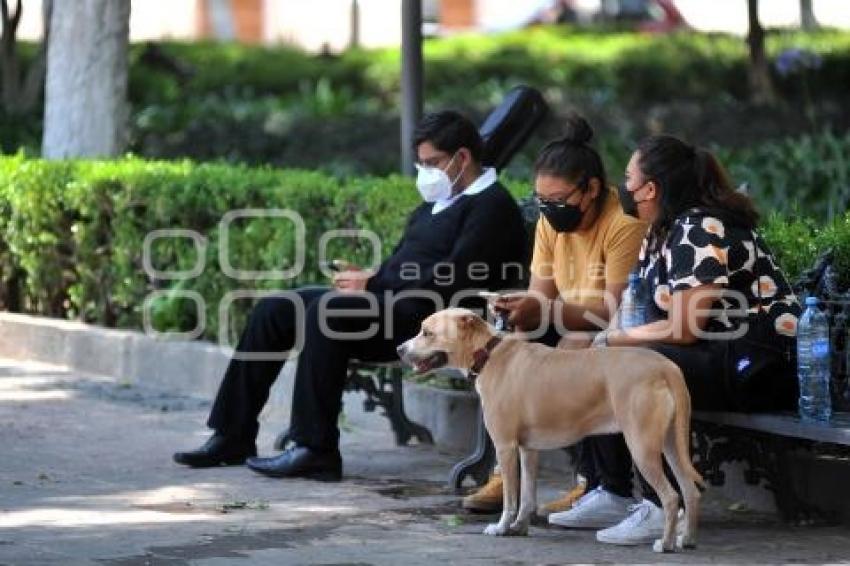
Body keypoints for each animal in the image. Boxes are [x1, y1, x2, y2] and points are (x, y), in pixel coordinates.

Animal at [398, 308, 704, 552]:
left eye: (427, 333)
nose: (400, 349)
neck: (489, 353)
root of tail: (666, 366)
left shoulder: (506, 447)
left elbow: (510, 498)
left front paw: (501, 527)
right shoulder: (528, 449)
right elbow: (526, 496)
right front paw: (520, 527)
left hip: (642, 447)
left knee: (671, 497)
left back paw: (665, 544)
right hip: (671, 445)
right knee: (690, 492)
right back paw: (686, 539)